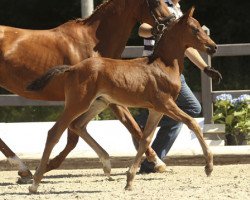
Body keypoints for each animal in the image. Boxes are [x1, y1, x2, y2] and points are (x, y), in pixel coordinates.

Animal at [0, 0, 172, 182]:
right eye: (155, 2)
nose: (171, 20)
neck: (92, 43)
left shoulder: (105, 98)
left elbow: (128, 125)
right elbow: (130, 127)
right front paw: (158, 163)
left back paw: (23, 169)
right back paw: (23, 168)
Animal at [26, 7, 215, 193]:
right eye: (195, 29)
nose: (213, 47)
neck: (163, 65)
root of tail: (72, 68)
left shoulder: (156, 109)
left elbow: (145, 139)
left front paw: (129, 180)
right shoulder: (166, 104)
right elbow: (192, 123)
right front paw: (208, 167)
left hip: (99, 103)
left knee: (78, 125)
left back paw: (106, 165)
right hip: (78, 103)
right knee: (54, 132)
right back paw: (35, 183)